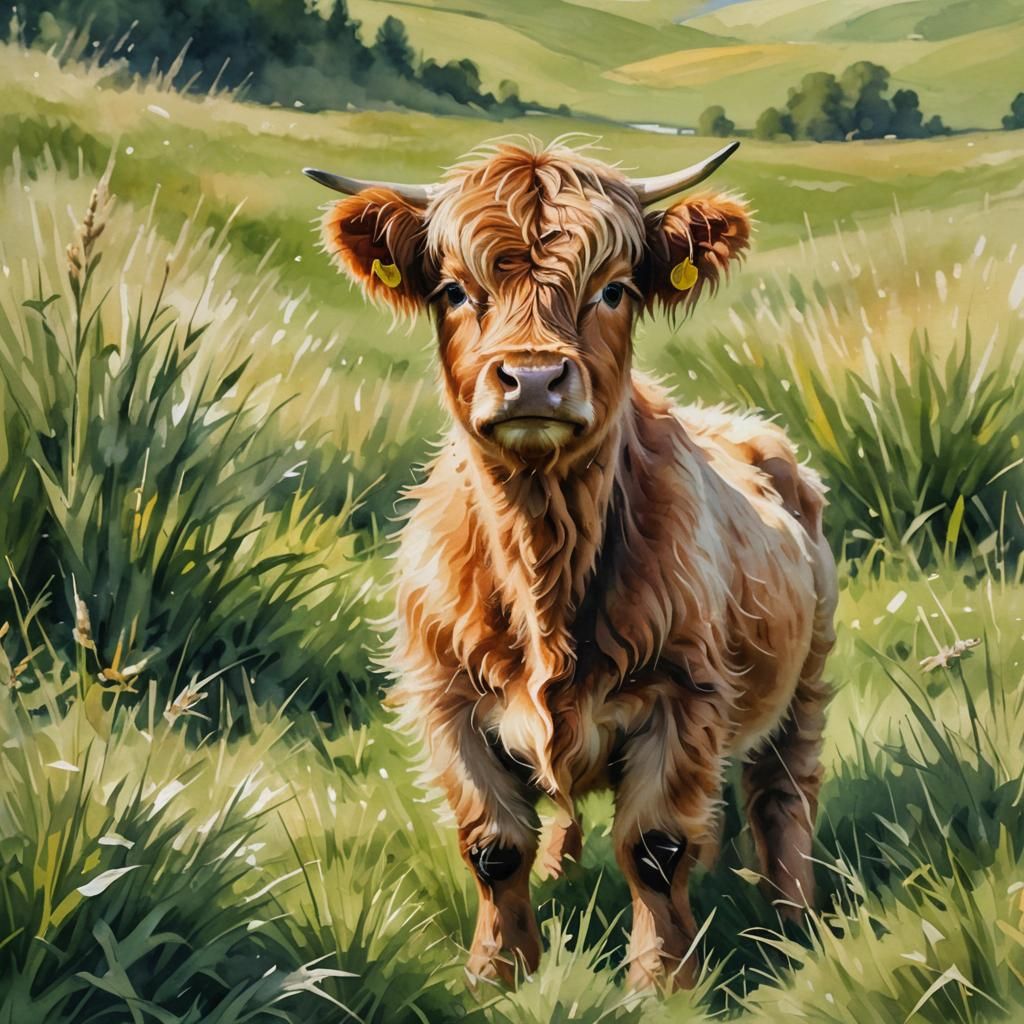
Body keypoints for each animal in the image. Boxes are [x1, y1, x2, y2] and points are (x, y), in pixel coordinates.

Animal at [304, 138, 837, 990]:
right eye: (455, 290)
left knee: (782, 794)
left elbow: (654, 846)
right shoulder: (446, 701)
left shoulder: (682, 698)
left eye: (613, 289)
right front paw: (498, 972)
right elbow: (494, 845)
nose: (532, 378)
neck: (542, 558)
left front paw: (663, 981)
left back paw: (794, 923)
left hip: (806, 679)